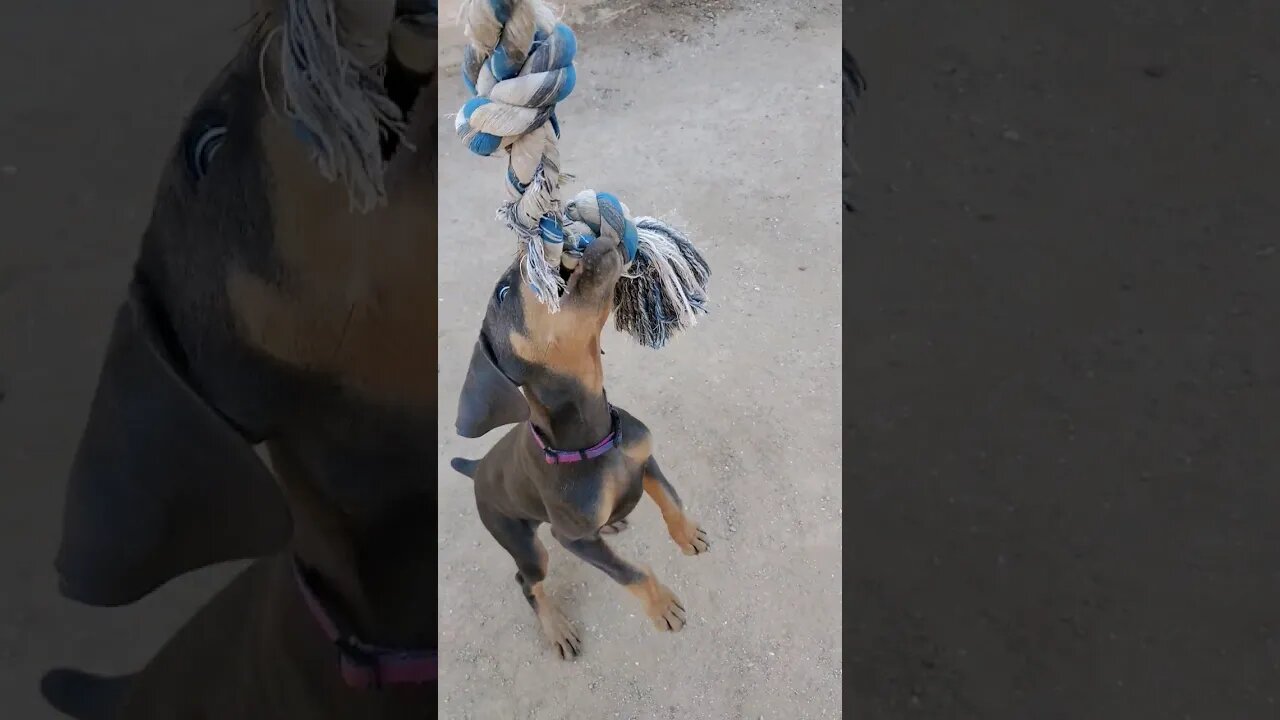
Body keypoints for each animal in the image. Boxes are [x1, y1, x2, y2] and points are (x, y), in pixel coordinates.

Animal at [450, 222, 711, 655]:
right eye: (502, 293)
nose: (533, 240)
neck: (594, 438)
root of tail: (477, 468)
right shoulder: (571, 538)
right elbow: (630, 572)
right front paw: (662, 607)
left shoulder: (644, 459)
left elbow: (671, 501)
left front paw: (687, 535)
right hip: (524, 542)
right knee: (528, 582)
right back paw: (558, 629)